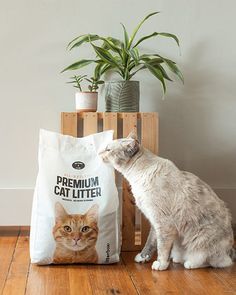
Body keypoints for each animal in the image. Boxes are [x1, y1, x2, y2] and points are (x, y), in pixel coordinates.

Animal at [98, 133, 235, 272]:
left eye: (108, 150)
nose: (98, 153)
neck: (137, 177)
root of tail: (230, 250)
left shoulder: (163, 223)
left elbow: (162, 249)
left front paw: (161, 265)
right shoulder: (154, 221)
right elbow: (151, 243)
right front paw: (142, 257)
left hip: (201, 239)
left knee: (214, 261)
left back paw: (189, 263)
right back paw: (178, 259)